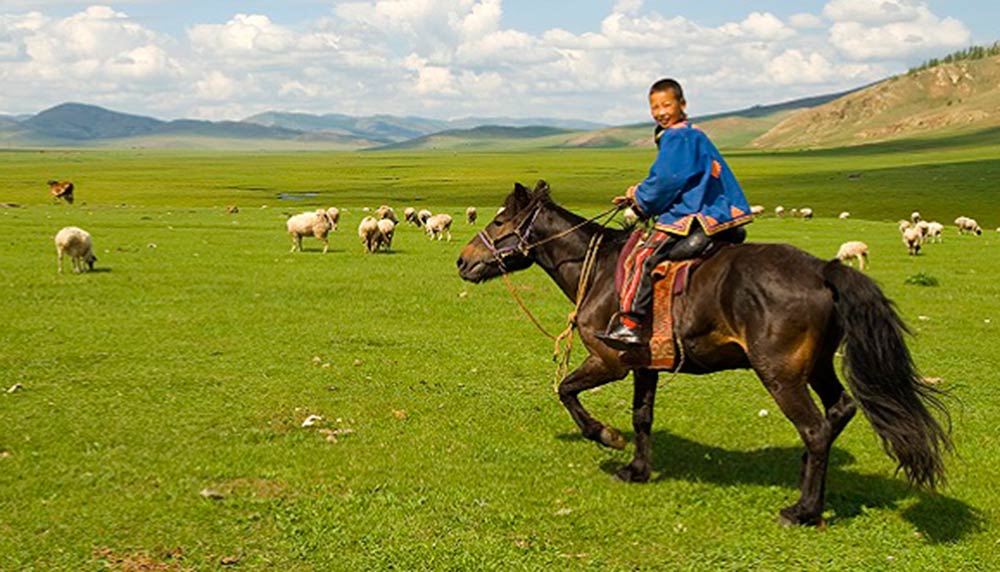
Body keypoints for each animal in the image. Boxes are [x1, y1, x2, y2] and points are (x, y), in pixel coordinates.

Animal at [458, 181, 948, 524]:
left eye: (499, 223)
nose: (463, 261)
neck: (598, 271)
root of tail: (823, 269)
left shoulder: (610, 361)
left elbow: (566, 390)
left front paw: (606, 436)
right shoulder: (644, 364)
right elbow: (642, 416)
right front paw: (637, 469)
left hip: (781, 374)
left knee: (814, 428)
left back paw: (803, 510)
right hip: (817, 366)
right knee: (839, 411)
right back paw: (808, 483)